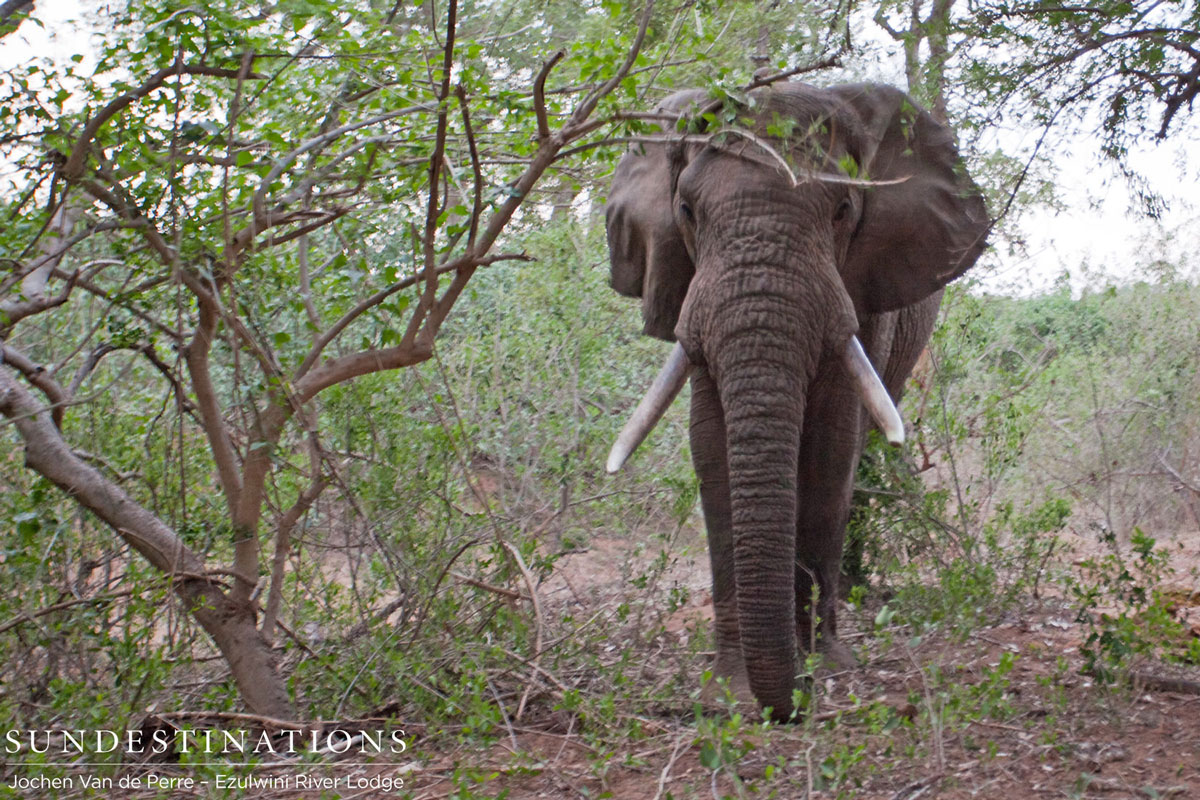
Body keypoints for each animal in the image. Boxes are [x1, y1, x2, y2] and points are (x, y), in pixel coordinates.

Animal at [603, 82, 988, 721]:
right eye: (686, 211)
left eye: (842, 211)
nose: (791, 704)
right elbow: (712, 447)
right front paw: (731, 692)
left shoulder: (860, 291)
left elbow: (832, 447)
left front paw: (826, 669)